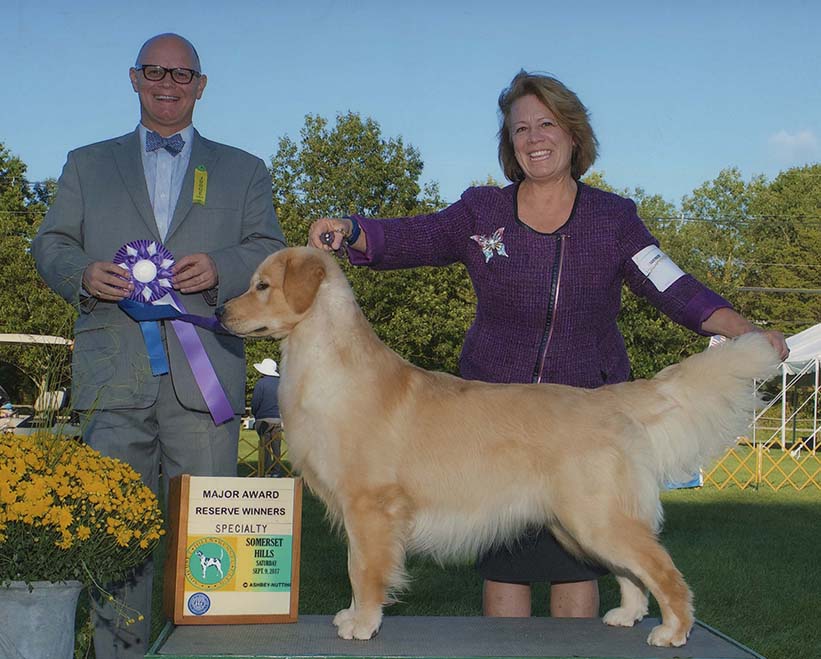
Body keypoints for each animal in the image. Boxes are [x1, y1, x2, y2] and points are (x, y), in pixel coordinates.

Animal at [218, 246, 779, 647]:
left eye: (261, 286)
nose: (221, 311)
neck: (327, 365)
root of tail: (608, 399)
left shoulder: (371, 506)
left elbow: (363, 570)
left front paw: (363, 622)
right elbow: (357, 568)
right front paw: (355, 616)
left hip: (596, 517)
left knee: (662, 570)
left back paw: (674, 630)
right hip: (581, 525)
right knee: (631, 573)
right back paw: (626, 614)